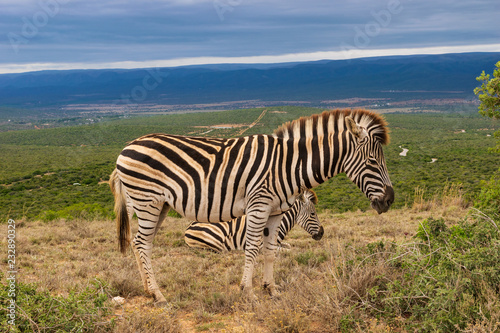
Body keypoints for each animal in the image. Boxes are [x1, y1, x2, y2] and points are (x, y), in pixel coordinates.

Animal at [185, 188, 324, 250]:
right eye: (313, 214)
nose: (322, 233)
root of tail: (188, 228)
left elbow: (289, 246)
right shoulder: (264, 245)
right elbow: (290, 250)